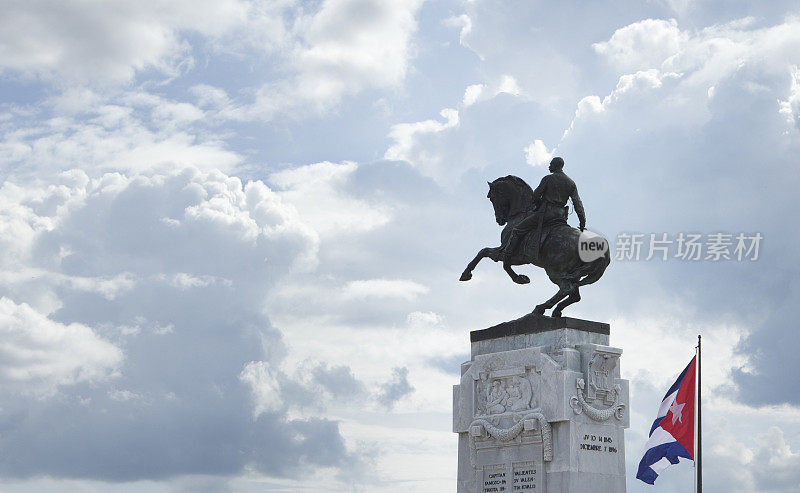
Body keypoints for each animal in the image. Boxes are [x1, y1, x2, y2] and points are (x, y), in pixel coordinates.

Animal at [460, 175, 608, 318]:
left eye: (491, 197)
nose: (499, 220)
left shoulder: (509, 252)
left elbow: (487, 254)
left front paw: (466, 274)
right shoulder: (519, 258)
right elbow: (487, 254)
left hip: (555, 271)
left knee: (567, 289)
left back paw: (540, 308)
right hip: (571, 274)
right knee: (575, 295)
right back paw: (556, 311)